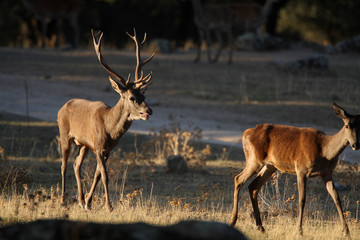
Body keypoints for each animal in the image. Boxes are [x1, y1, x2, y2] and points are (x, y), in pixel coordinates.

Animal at [57, 29, 155, 211]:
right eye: (131, 98)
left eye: (144, 96)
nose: (149, 111)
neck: (110, 129)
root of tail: (62, 107)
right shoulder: (98, 146)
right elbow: (104, 175)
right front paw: (109, 206)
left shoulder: (107, 149)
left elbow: (97, 175)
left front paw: (88, 203)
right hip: (65, 134)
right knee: (64, 165)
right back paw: (63, 200)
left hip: (83, 144)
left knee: (76, 165)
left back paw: (80, 199)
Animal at [229, 103, 358, 236]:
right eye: (347, 125)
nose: (355, 145)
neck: (325, 151)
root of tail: (246, 133)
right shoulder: (301, 169)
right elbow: (302, 199)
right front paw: (299, 231)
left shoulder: (327, 173)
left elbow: (336, 198)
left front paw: (347, 231)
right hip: (254, 159)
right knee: (238, 179)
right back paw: (233, 221)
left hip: (270, 166)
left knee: (253, 186)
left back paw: (261, 227)